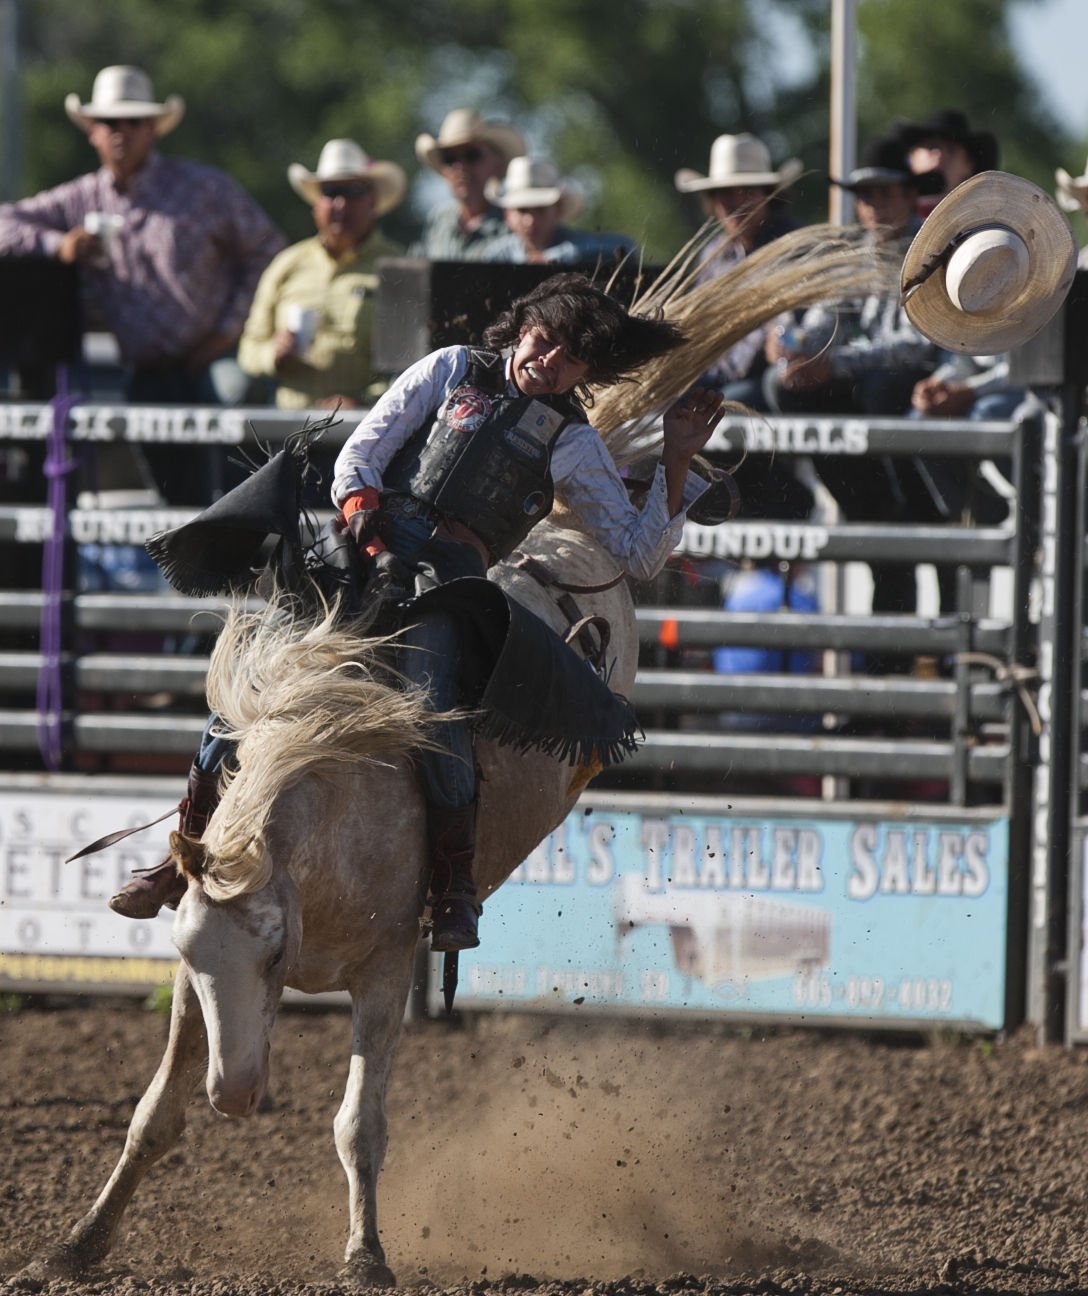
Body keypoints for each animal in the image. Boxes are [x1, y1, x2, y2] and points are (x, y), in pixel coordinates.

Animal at [27, 510, 637, 1290]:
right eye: (190, 955)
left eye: (275, 955)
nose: (233, 1095)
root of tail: (566, 531)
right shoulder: (192, 980)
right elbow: (154, 1114)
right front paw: (78, 1244)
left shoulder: (386, 971)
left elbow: (359, 1127)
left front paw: (366, 1255)